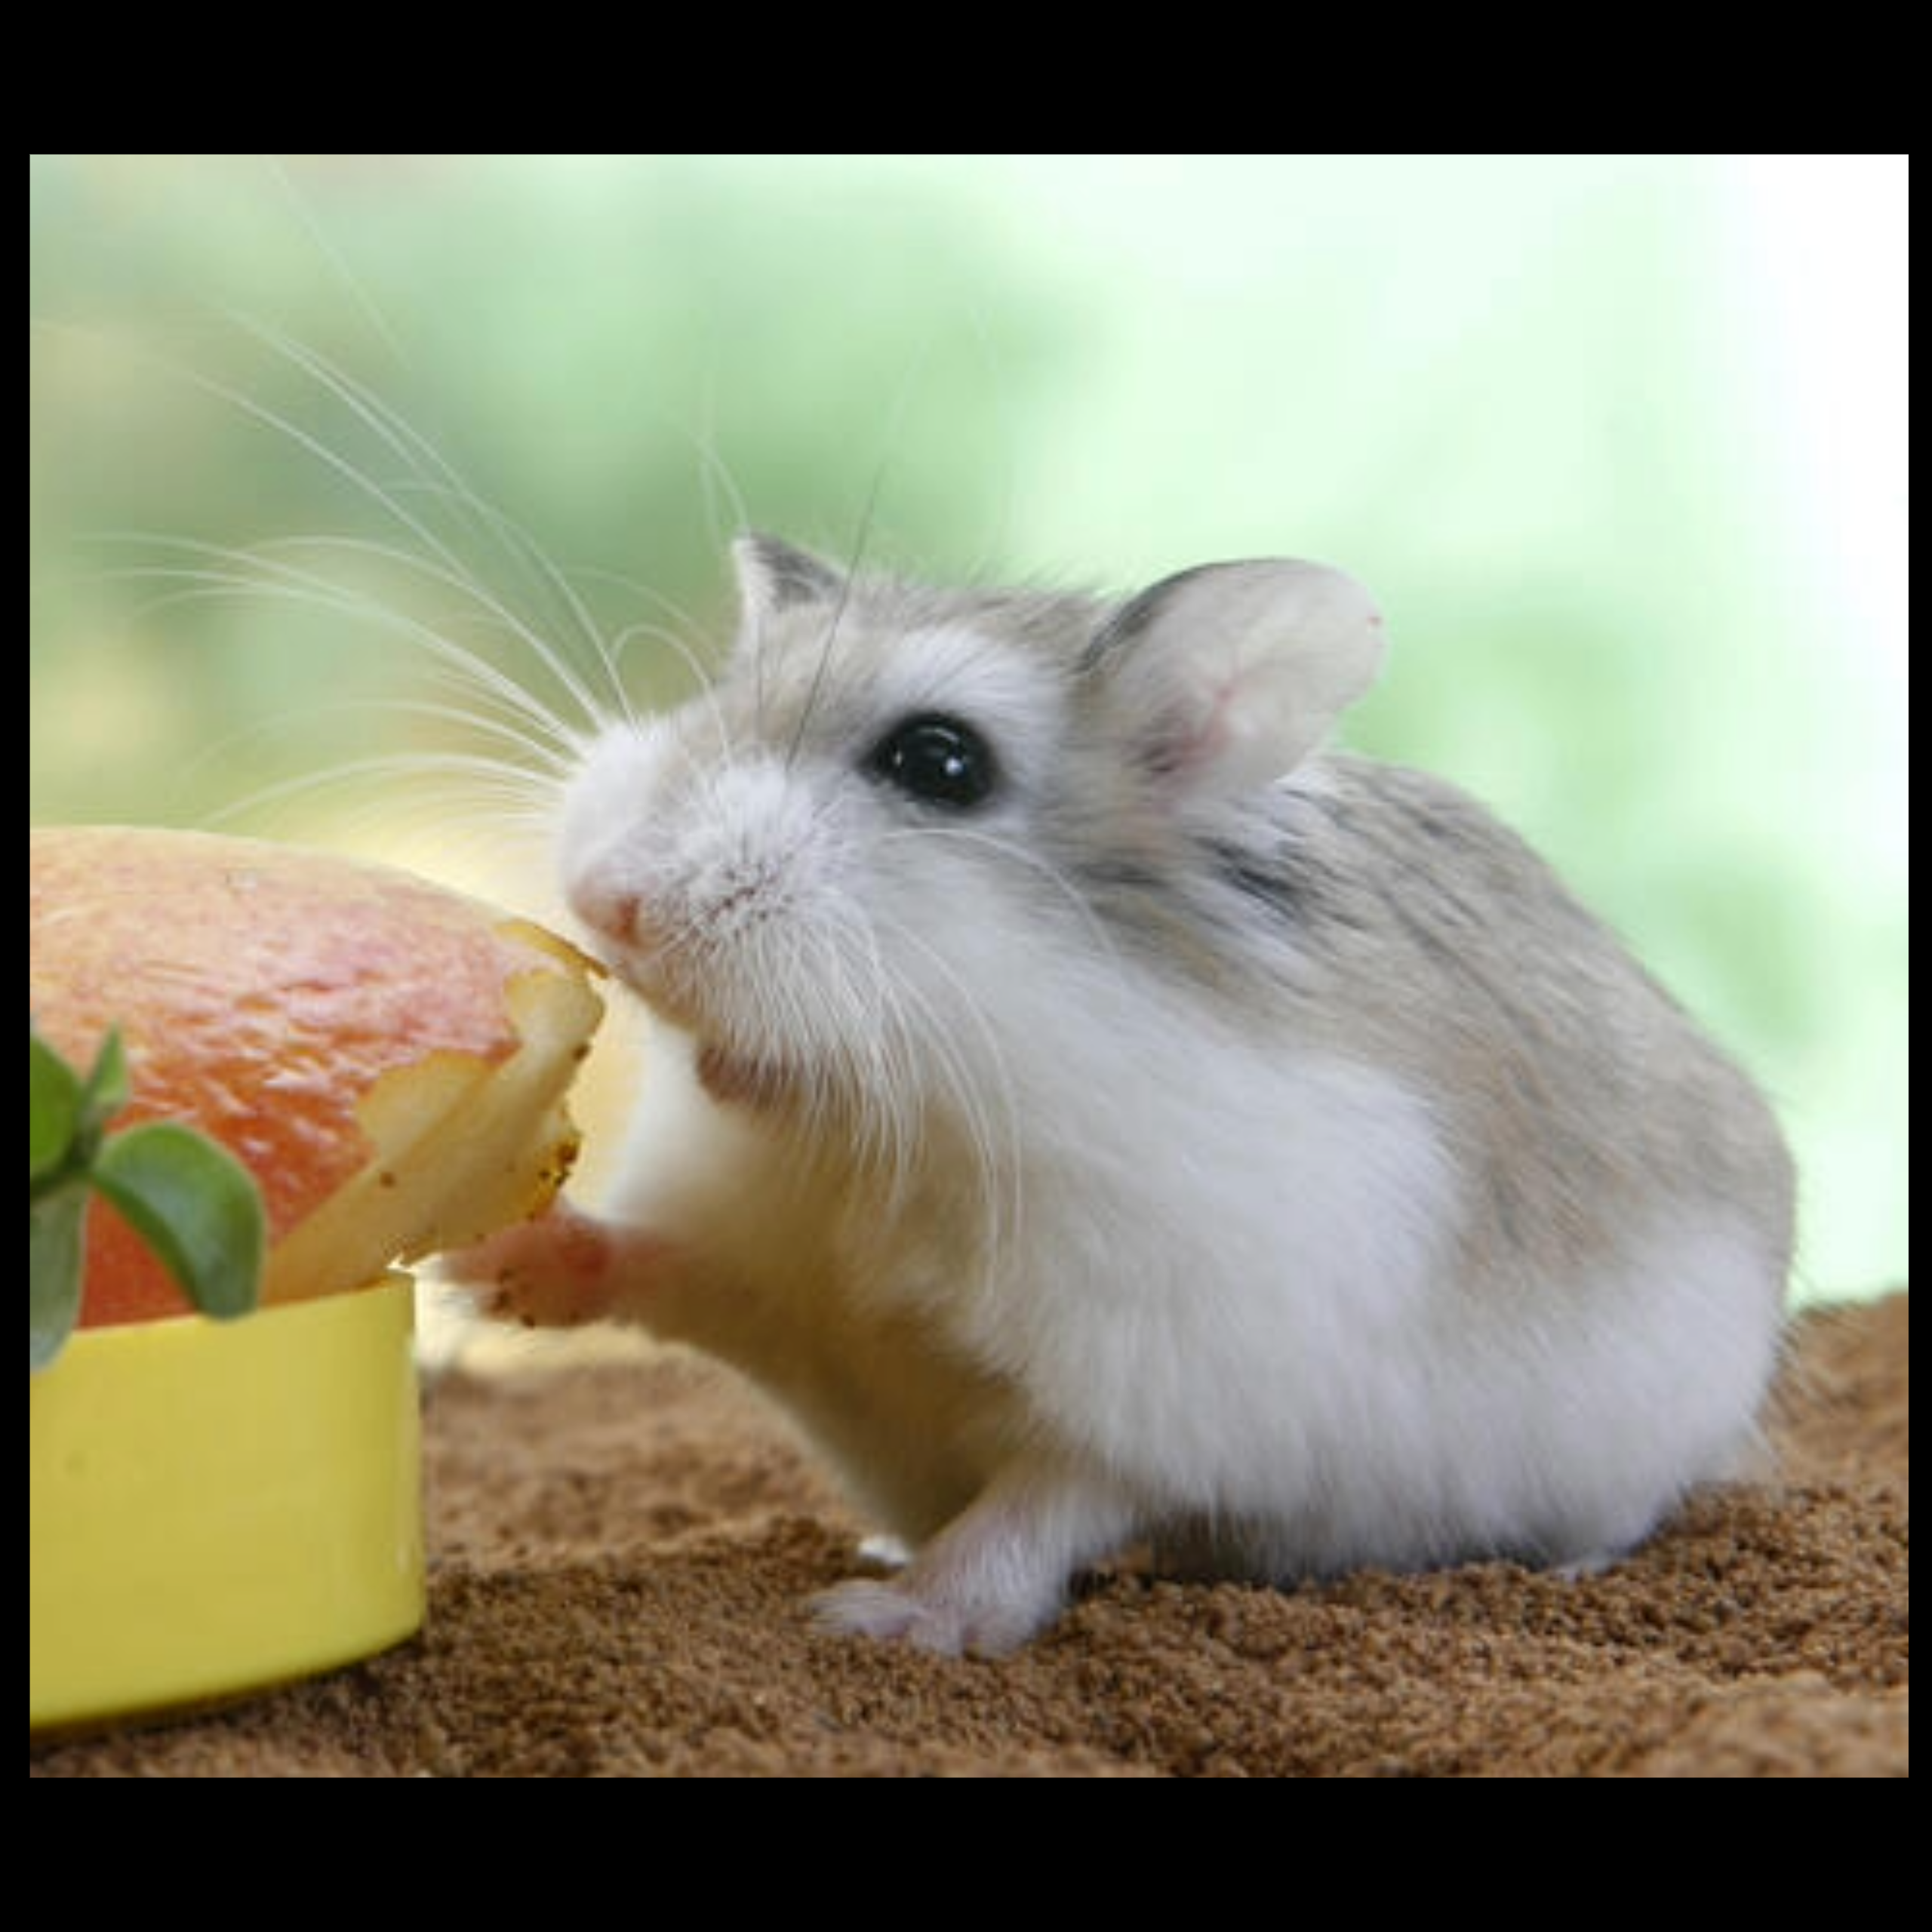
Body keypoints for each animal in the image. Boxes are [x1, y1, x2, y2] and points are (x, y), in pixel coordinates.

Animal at [453, 534, 1795, 1655]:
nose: (608, 900)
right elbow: (653, 1265)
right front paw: (488, 1269)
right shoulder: (768, 1273)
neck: (889, 1109)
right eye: (725, 691)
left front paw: (882, 1624)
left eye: (939, 762)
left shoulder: (1153, 1390)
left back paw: (1571, 1569)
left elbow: (1039, 1512)